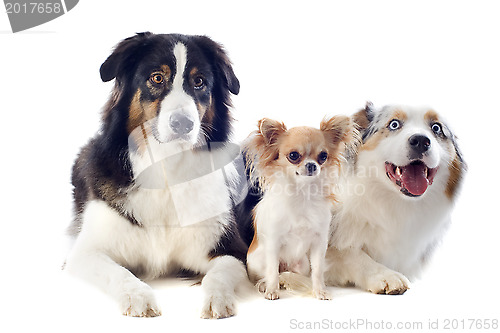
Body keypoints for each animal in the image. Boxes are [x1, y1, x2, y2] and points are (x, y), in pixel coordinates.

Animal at [64, 32, 248, 318]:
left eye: (199, 82)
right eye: (157, 78)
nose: (183, 124)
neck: (166, 164)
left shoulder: (231, 249)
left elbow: (219, 274)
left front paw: (218, 299)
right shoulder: (84, 253)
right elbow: (119, 273)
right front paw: (138, 297)